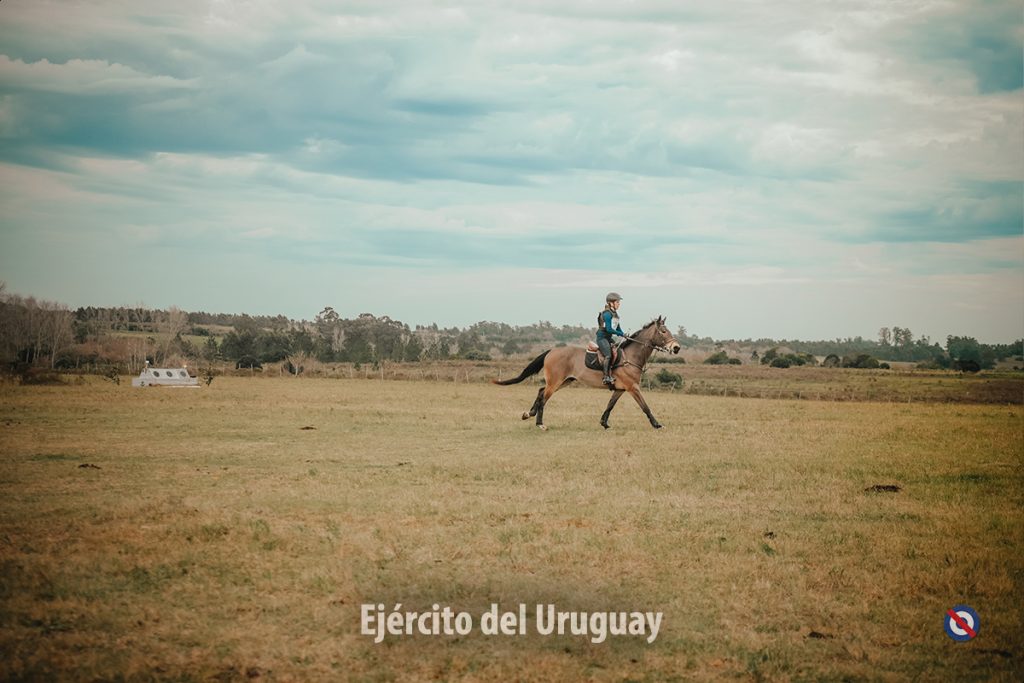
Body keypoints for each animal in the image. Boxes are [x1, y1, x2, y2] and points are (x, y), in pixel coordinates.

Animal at [492, 317, 682, 430]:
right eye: (663, 331)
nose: (676, 348)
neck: (631, 357)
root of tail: (552, 350)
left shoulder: (620, 389)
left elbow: (610, 405)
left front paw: (604, 423)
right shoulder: (633, 388)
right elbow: (645, 406)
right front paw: (657, 424)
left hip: (564, 381)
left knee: (540, 392)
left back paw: (528, 414)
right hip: (556, 381)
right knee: (544, 398)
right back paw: (540, 423)